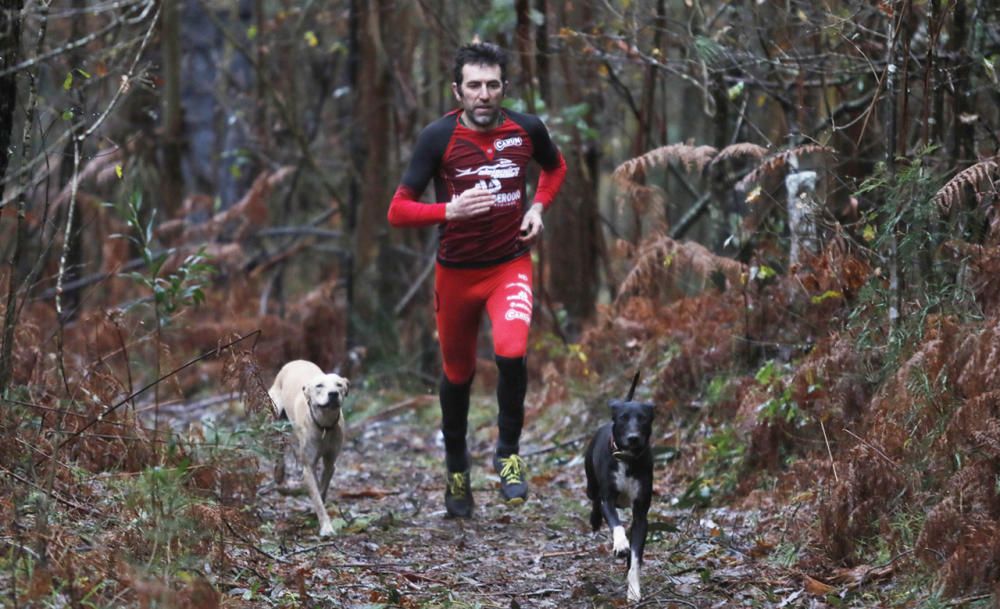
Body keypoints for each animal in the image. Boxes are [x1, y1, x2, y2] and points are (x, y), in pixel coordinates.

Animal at [270, 358, 352, 536]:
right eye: (319, 386)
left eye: (339, 385)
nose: (333, 394)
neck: (324, 426)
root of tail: (295, 361)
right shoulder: (308, 467)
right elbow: (317, 498)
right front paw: (326, 527)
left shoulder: (330, 463)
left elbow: (321, 490)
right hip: (276, 418)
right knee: (278, 444)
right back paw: (279, 472)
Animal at [584, 372, 652, 600]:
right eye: (623, 418)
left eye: (643, 418)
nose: (633, 437)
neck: (628, 460)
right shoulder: (609, 499)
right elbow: (615, 522)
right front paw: (621, 544)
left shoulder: (641, 514)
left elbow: (636, 559)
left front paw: (633, 590)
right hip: (591, 484)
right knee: (594, 498)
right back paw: (595, 520)